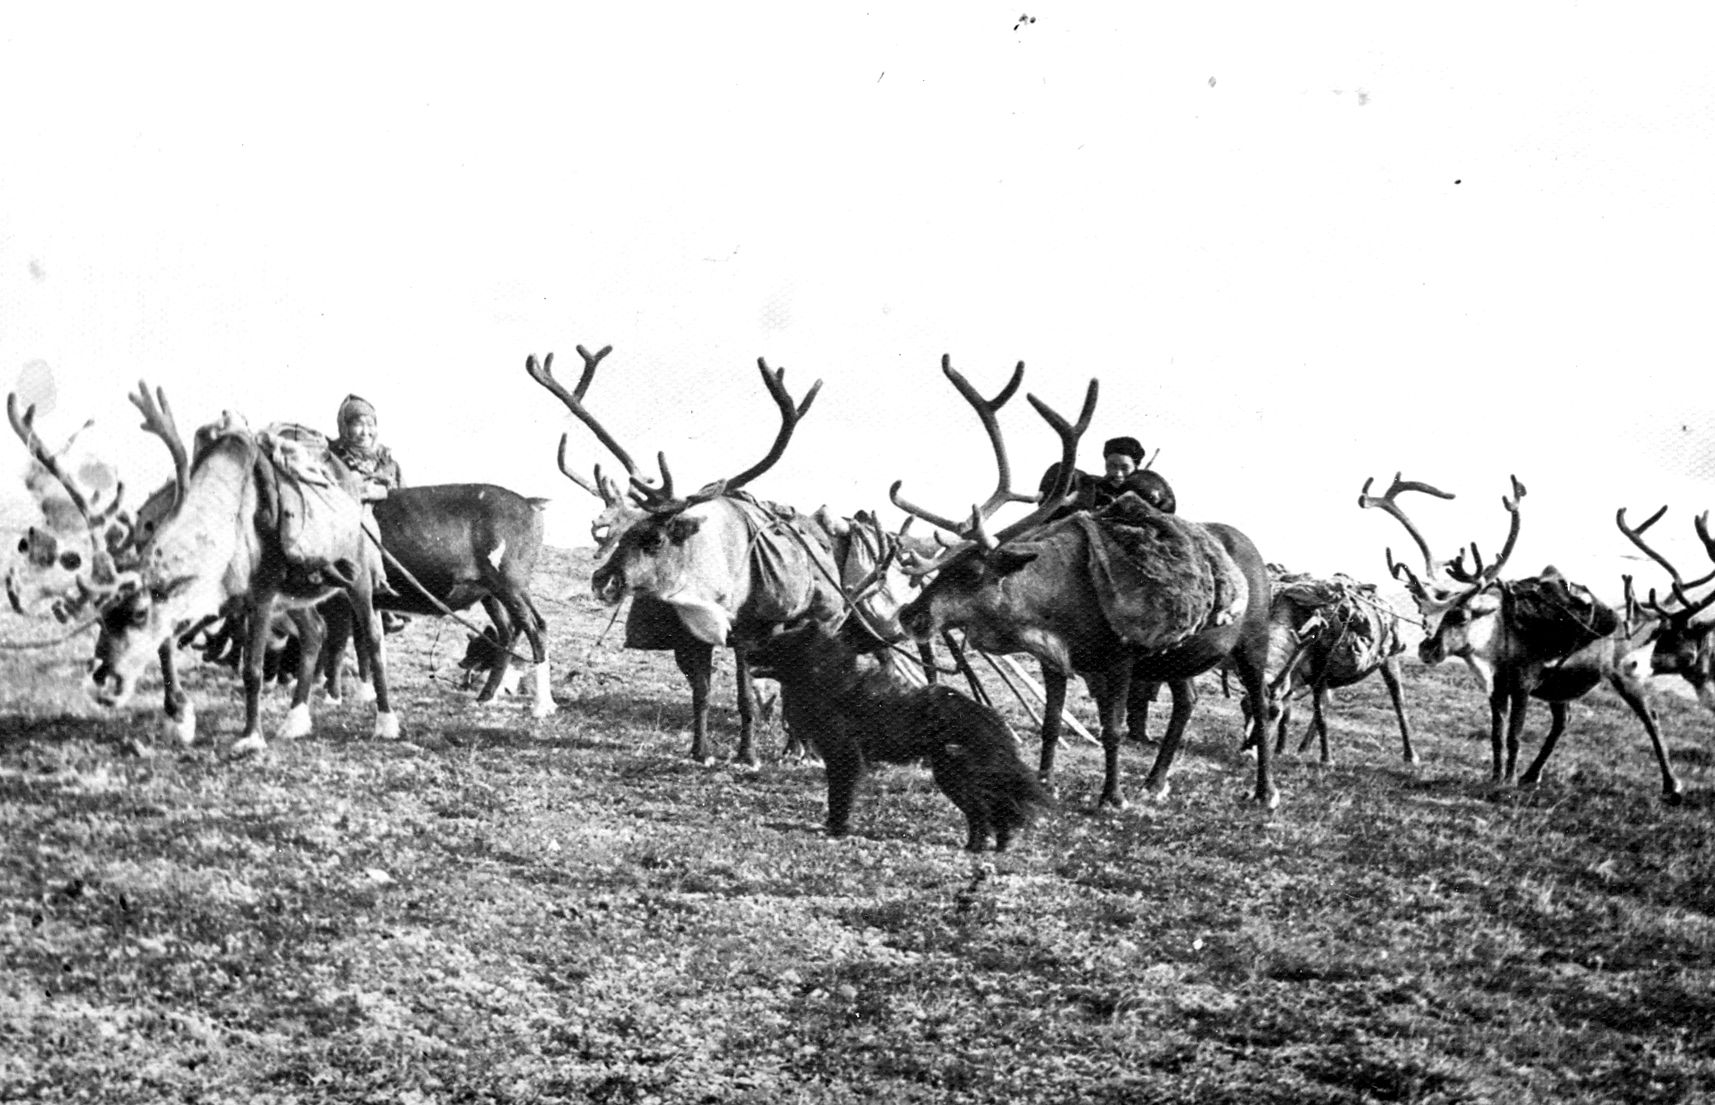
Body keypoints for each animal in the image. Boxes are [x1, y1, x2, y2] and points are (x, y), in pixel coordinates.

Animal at [747, 624, 1042, 851]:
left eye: (773, 644)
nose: (746, 651)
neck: (825, 682)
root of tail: (991, 719)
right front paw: (832, 825)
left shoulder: (845, 756)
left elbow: (839, 795)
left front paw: (837, 828)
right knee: (997, 809)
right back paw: (998, 845)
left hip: (955, 774)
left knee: (982, 811)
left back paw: (975, 846)